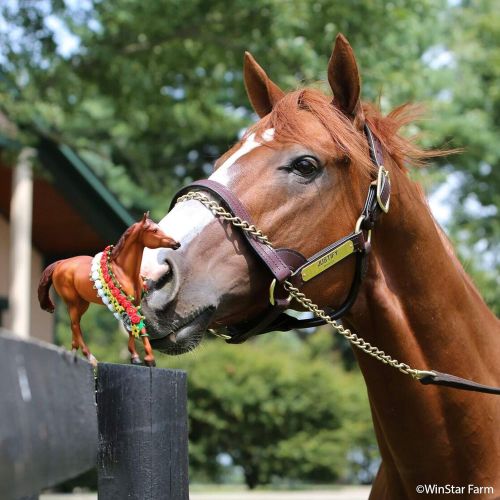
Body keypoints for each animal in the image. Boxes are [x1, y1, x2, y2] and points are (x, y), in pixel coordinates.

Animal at [39, 213, 180, 366]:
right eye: (154, 230)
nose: (176, 243)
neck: (123, 271)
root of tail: (60, 263)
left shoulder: (134, 303)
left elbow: (135, 327)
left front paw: (139, 358)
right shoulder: (126, 302)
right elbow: (135, 326)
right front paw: (145, 358)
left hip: (82, 303)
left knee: (74, 326)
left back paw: (74, 352)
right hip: (73, 303)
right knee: (76, 326)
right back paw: (90, 357)